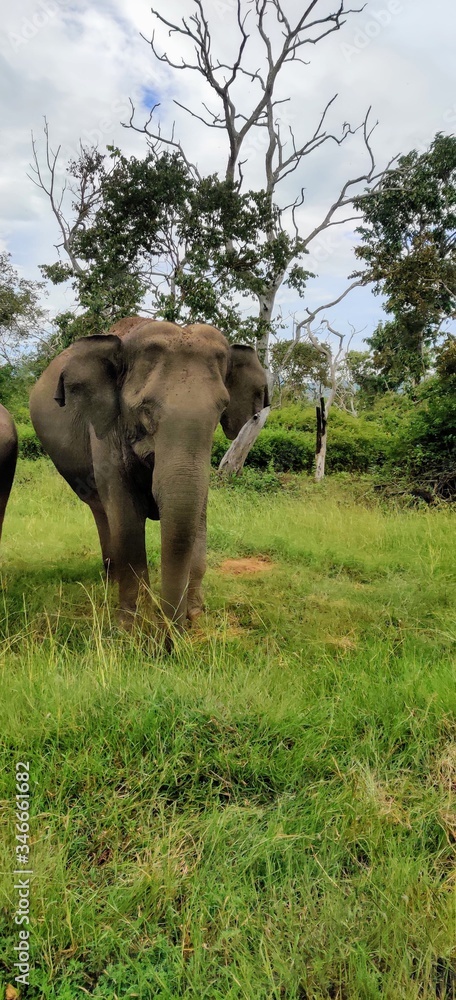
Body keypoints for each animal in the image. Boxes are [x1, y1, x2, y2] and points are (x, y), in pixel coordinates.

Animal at [29, 318, 269, 633]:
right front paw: (132, 626)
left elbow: (198, 512)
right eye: (144, 409)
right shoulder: (106, 435)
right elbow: (127, 517)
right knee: (101, 510)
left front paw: (195, 615)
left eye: (221, 409)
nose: (172, 636)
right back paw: (111, 583)